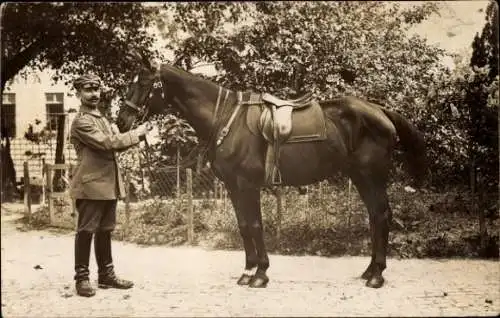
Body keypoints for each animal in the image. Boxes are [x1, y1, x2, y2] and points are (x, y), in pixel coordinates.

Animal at [116, 60, 426, 290]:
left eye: (142, 84)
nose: (122, 122)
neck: (225, 117)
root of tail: (379, 110)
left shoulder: (247, 185)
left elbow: (255, 225)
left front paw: (260, 275)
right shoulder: (233, 187)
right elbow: (243, 226)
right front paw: (247, 271)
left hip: (370, 176)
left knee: (381, 215)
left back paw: (376, 276)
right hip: (361, 177)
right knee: (375, 216)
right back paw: (370, 271)